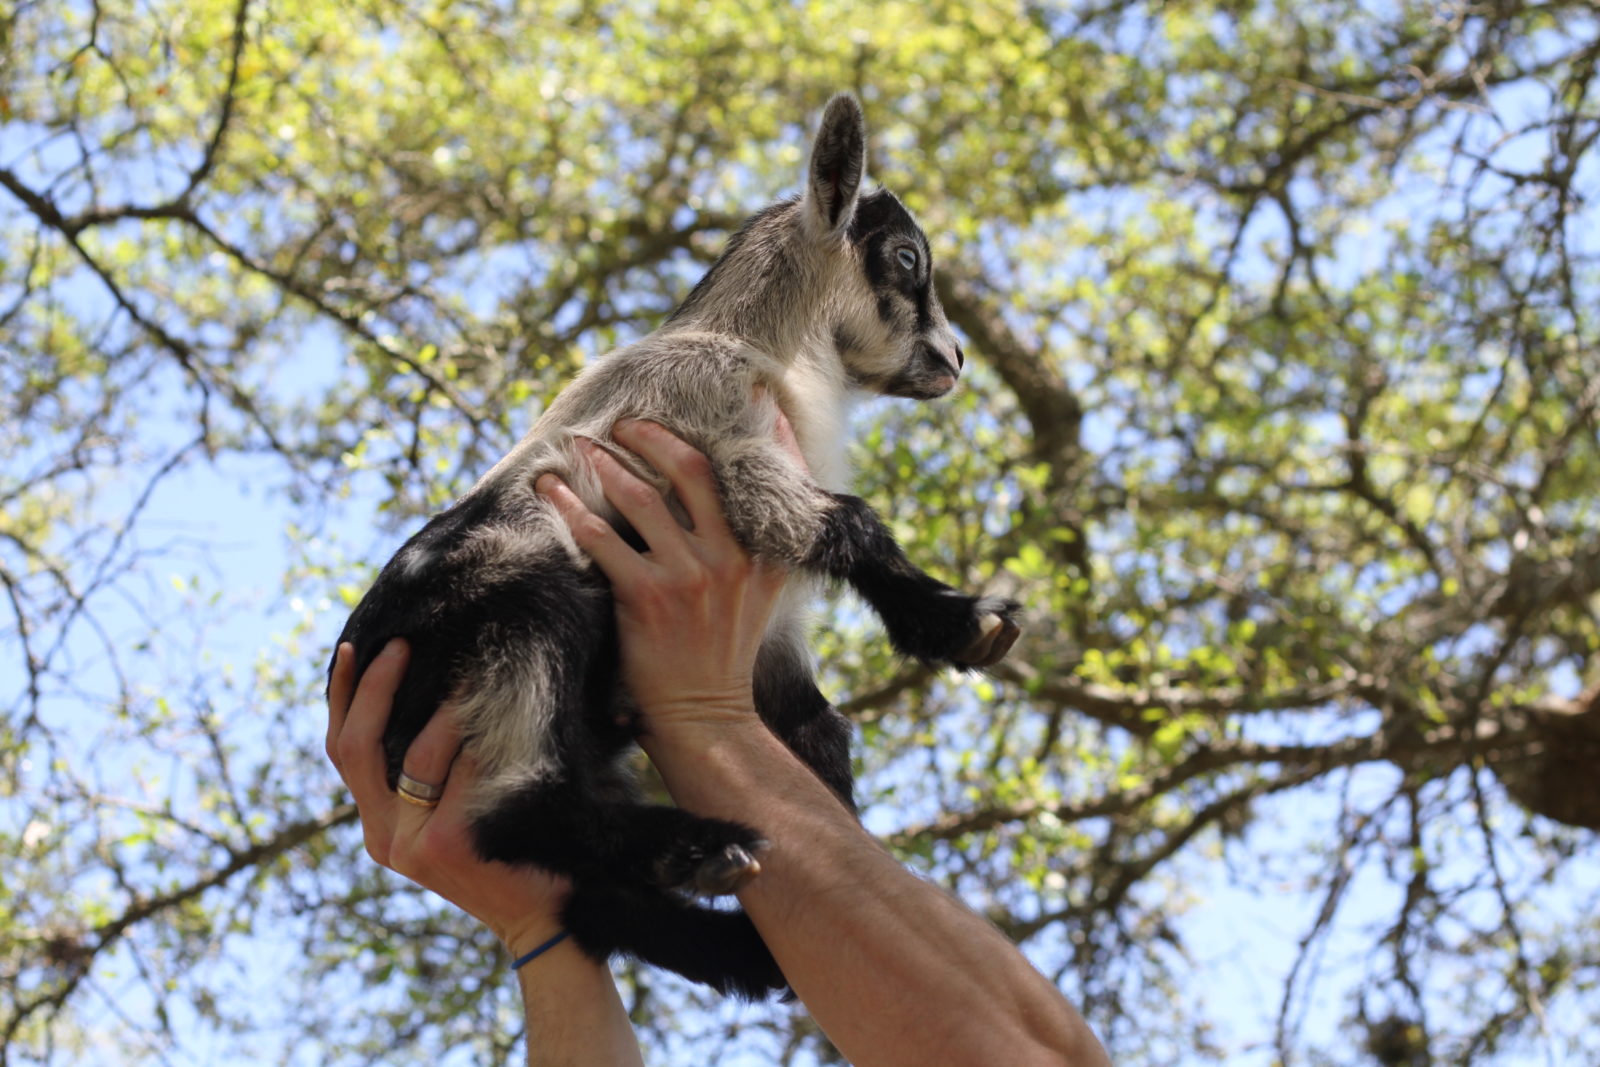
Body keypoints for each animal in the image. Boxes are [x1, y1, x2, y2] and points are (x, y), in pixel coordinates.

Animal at [331, 93, 1017, 1004]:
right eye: (905, 257)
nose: (954, 359)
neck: (767, 351)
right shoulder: (729, 443)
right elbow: (854, 523)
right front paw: (964, 621)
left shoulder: (772, 631)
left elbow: (818, 727)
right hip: (518, 605)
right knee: (510, 807)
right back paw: (700, 846)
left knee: (588, 896)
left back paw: (731, 936)